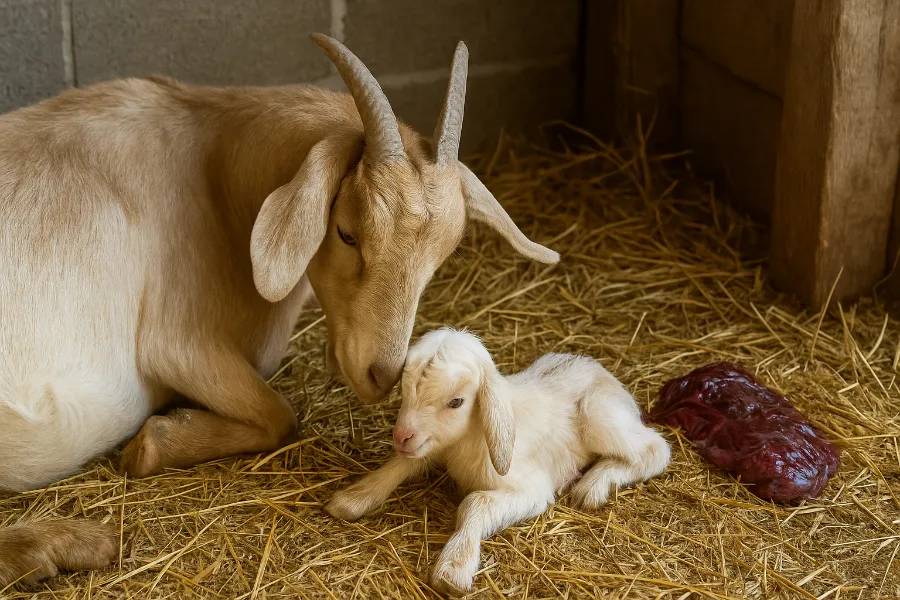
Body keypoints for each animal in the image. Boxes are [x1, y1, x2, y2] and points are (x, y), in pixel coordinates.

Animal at [0, 36, 559, 585]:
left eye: (443, 254)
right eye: (347, 232)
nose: (381, 374)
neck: (215, 178)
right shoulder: (178, 342)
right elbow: (281, 416)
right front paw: (149, 443)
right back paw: (67, 545)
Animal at [326, 328, 670, 594]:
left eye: (456, 402)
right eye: (404, 391)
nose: (402, 437)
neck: (470, 437)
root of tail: (599, 369)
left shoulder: (532, 489)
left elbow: (475, 503)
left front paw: (454, 569)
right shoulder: (431, 445)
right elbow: (399, 465)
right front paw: (352, 499)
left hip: (600, 416)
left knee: (654, 449)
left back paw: (594, 485)